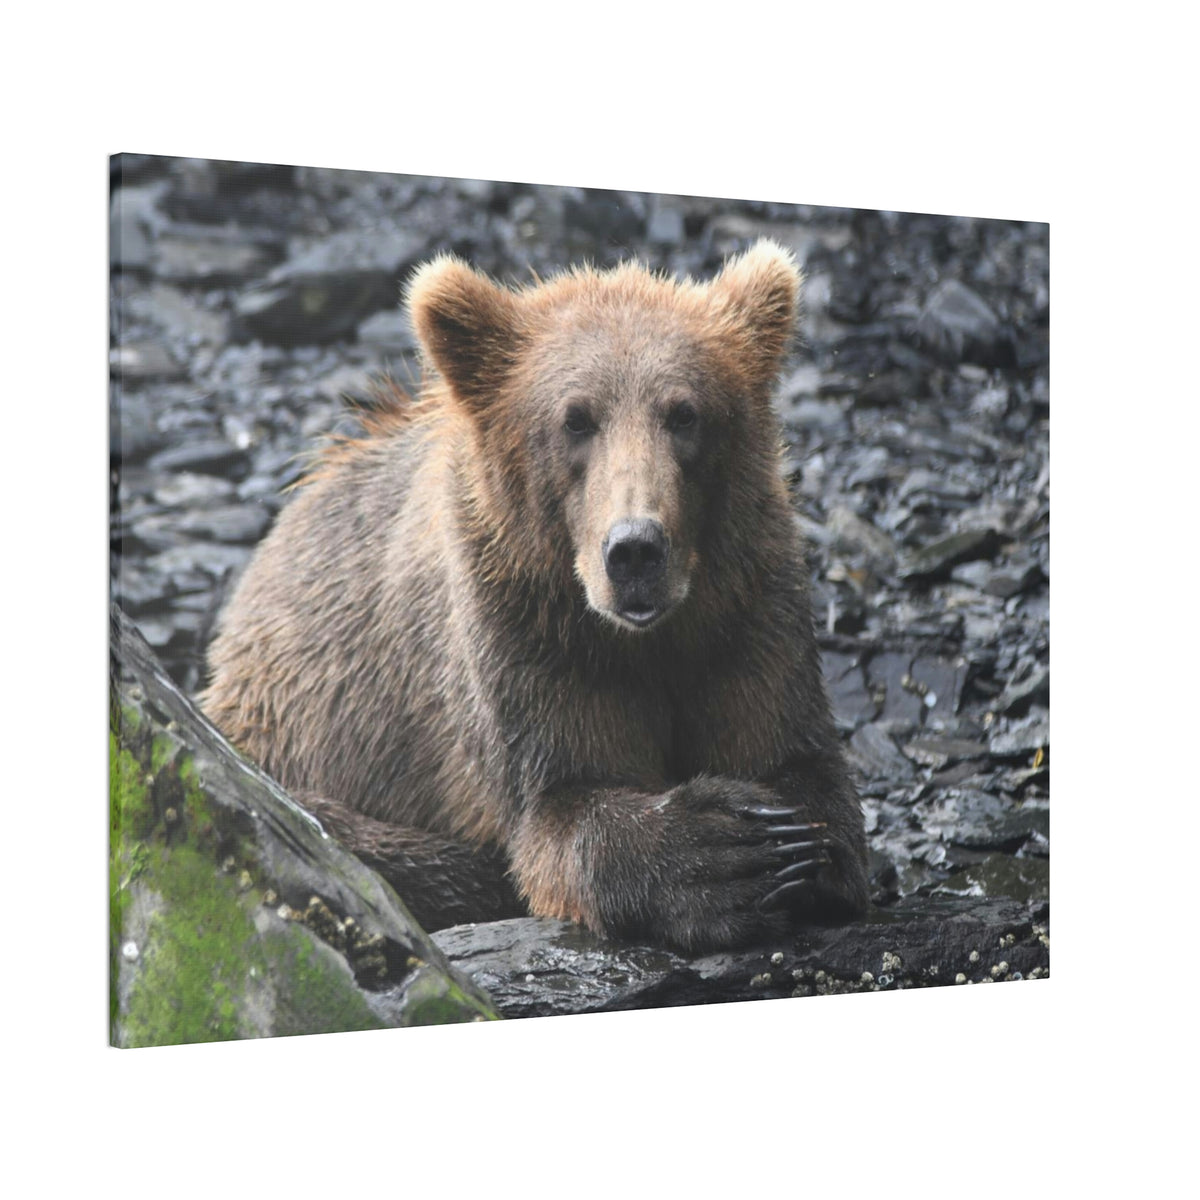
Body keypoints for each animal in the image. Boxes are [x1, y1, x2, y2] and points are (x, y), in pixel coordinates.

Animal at [202, 239, 870, 952]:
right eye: (575, 419)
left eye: (684, 413)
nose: (635, 550)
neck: (643, 638)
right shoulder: (522, 632)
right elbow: (561, 804)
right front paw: (723, 852)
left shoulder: (746, 608)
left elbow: (796, 760)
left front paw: (791, 845)